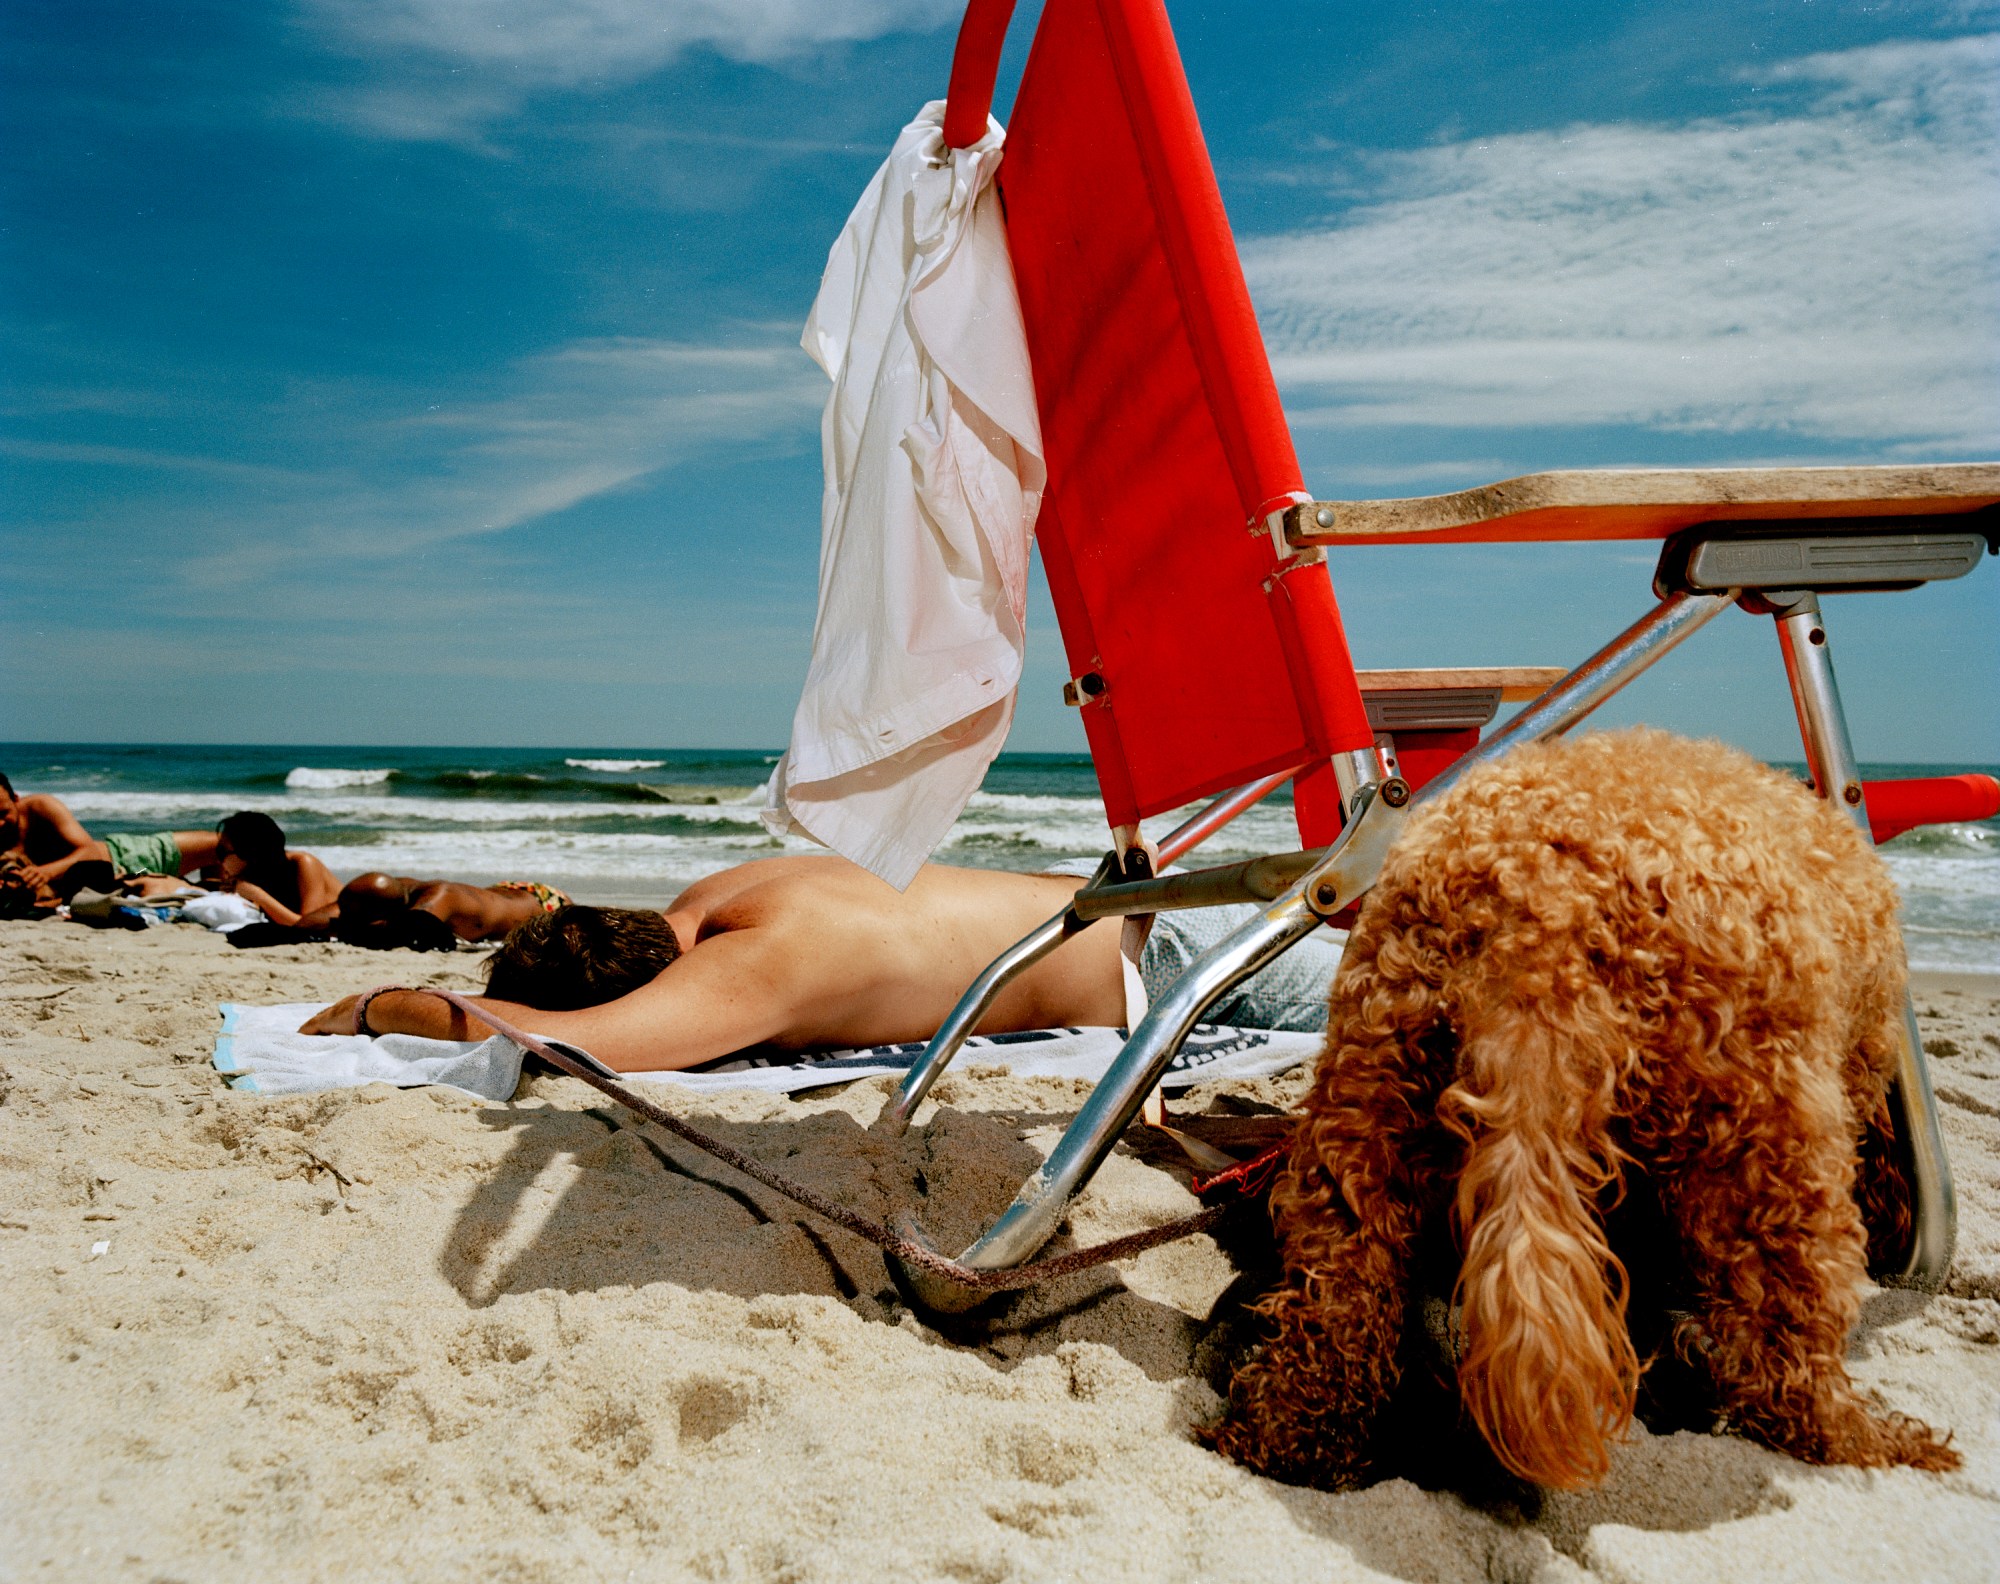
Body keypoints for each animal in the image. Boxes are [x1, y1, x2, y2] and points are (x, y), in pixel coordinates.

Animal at [1208, 724, 1960, 1488]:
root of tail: (1543, 912)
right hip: (1773, 1141)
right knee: (1789, 1357)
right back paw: (1870, 1438)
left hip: (1369, 1096)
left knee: (1340, 1291)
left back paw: (1293, 1437)